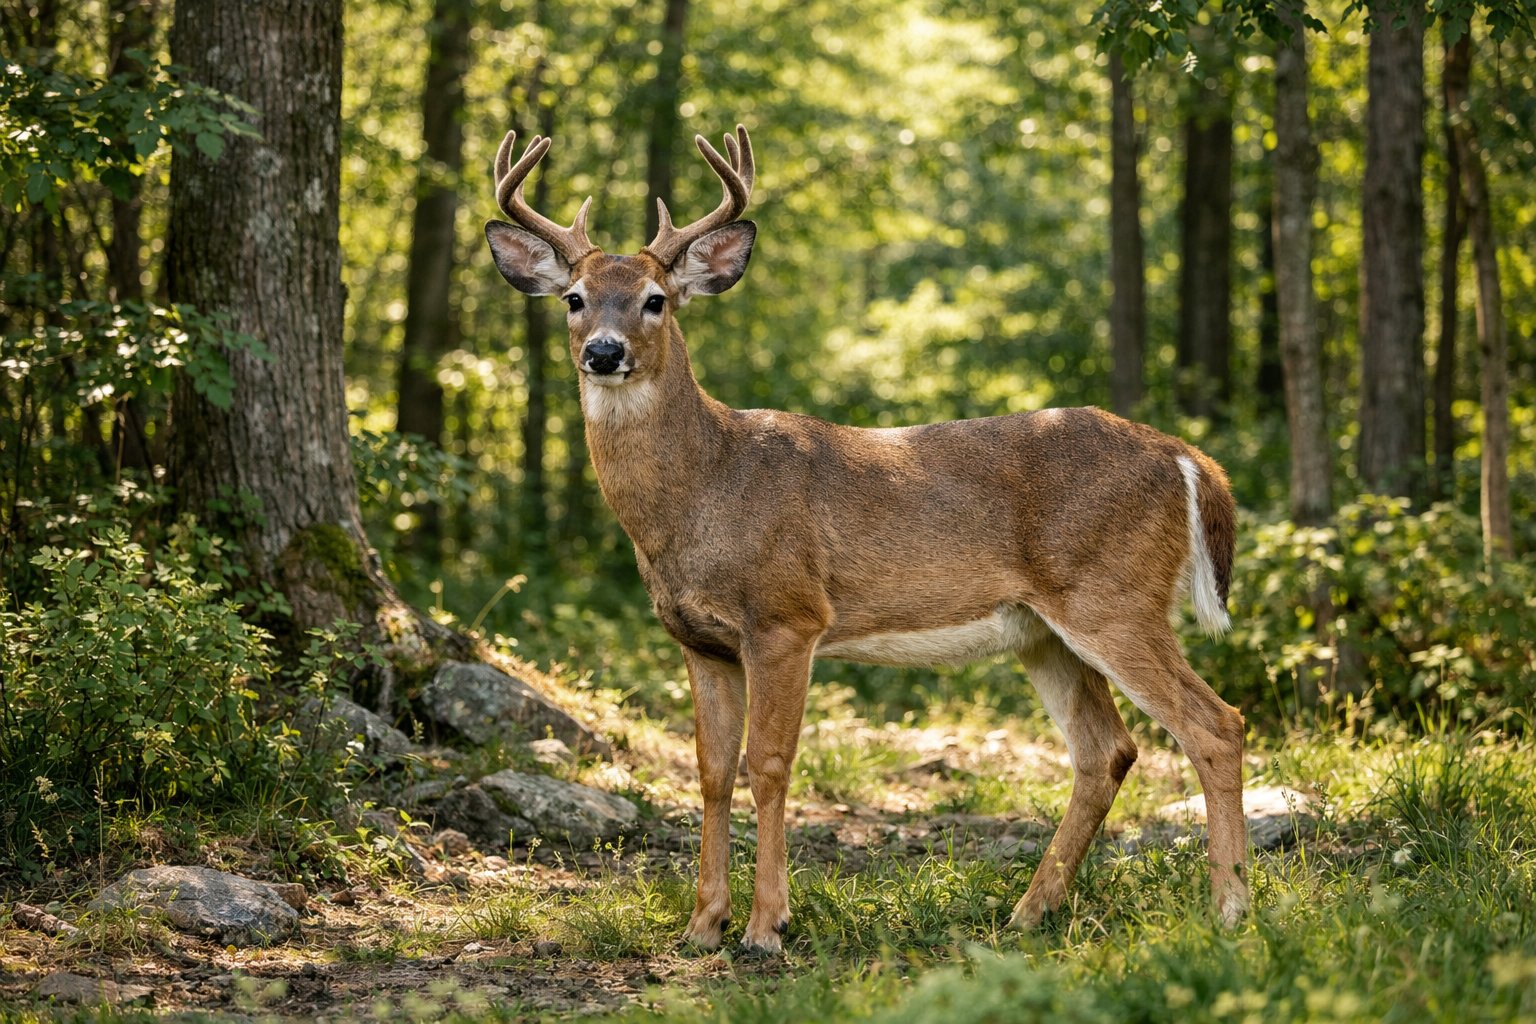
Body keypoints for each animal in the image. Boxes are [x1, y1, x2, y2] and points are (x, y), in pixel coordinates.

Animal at [484, 124, 1248, 954]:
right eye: (575, 298)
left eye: (656, 300)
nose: (604, 352)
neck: (704, 488)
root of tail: (1189, 459)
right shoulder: (699, 640)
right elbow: (711, 771)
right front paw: (702, 925)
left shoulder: (787, 616)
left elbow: (770, 763)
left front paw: (766, 924)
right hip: (1043, 630)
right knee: (1105, 751)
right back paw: (1028, 911)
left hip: (1114, 596)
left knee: (1215, 724)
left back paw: (1230, 909)